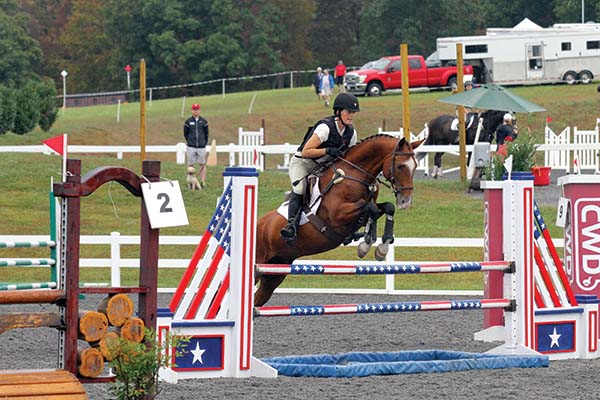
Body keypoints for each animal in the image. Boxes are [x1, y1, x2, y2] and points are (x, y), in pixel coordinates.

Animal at [255, 134, 424, 306]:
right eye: (401, 166)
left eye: (415, 166)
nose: (405, 202)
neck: (355, 174)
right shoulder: (337, 216)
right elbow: (370, 208)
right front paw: (366, 245)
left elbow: (385, 207)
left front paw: (380, 246)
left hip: (276, 270)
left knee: (259, 298)